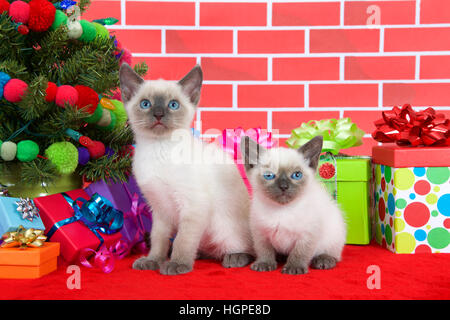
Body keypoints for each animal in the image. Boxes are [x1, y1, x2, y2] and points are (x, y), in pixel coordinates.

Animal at [119, 63, 253, 276]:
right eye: (146, 104)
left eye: (173, 105)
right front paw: (153, 261)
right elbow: (158, 239)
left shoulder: (193, 205)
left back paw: (233, 257)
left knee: (248, 249)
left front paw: (177, 264)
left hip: (225, 229)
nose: (158, 115)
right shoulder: (159, 208)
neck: (159, 148)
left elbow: (182, 240)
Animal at [241, 136, 346, 276]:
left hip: (335, 232)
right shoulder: (260, 233)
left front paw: (294, 268)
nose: (284, 187)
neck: (282, 210)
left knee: (334, 254)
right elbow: (264, 250)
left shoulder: (306, 236)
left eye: (297, 175)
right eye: (269, 175)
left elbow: (299, 253)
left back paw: (323, 260)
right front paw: (264, 264)